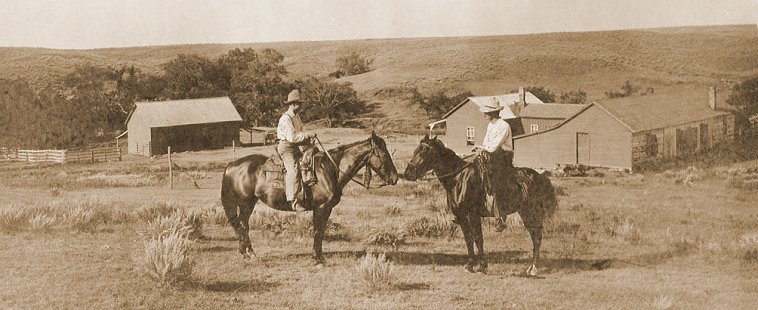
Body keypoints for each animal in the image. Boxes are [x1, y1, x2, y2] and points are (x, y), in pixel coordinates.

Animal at [221, 132, 400, 266]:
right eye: (384, 154)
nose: (395, 178)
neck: (329, 169)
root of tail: (231, 165)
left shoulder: (326, 209)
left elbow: (320, 231)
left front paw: (319, 257)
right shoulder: (321, 207)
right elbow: (318, 231)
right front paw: (317, 259)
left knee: (241, 225)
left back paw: (246, 252)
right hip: (245, 203)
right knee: (243, 225)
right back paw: (249, 254)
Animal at [404, 136, 560, 276]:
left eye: (424, 152)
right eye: (415, 150)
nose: (407, 173)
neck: (458, 178)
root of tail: (540, 176)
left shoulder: (473, 214)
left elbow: (478, 238)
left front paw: (482, 266)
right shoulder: (461, 215)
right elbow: (469, 239)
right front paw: (470, 265)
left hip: (531, 212)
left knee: (537, 238)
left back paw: (534, 268)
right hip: (525, 212)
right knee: (535, 236)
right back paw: (531, 267)